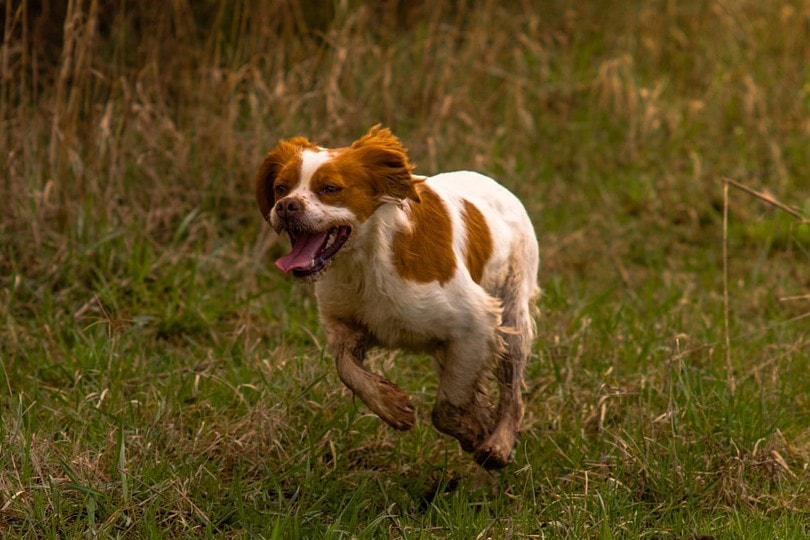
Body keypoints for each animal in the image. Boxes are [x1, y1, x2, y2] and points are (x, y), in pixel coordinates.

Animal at [256, 126, 540, 468]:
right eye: (280, 187)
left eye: (329, 188)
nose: (285, 205)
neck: (365, 261)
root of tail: (499, 186)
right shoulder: (345, 324)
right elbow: (346, 368)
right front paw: (392, 405)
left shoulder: (477, 323)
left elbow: (446, 407)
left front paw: (474, 432)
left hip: (513, 317)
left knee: (513, 394)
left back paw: (498, 444)